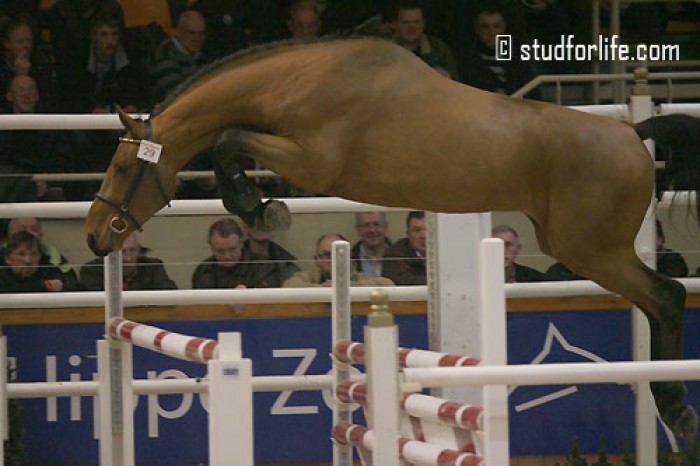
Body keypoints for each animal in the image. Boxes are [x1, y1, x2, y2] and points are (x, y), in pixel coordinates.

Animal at [84, 37, 700, 440]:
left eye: (121, 167)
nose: (93, 236)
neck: (297, 80)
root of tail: (632, 132)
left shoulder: (311, 160)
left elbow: (228, 139)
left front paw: (262, 209)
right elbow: (228, 142)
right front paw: (259, 205)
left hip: (589, 248)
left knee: (667, 295)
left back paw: (676, 408)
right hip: (581, 247)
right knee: (658, 300)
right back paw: (671, 406)